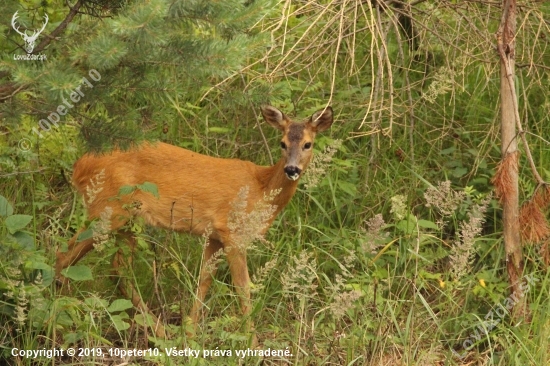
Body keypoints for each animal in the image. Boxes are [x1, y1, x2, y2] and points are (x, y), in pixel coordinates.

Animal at [58, 104, 338, 338]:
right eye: (282, 143)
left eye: (308, 144)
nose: (291, 170)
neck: (260, 189)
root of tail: (80, 166)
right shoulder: (232, 232)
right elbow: (243, 287)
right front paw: (252, 342)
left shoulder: (213, 236)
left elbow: (203, 281)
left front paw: (190, 333)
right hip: (109, 209)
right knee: (67, 254)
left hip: (126, 220)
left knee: (116, 266)